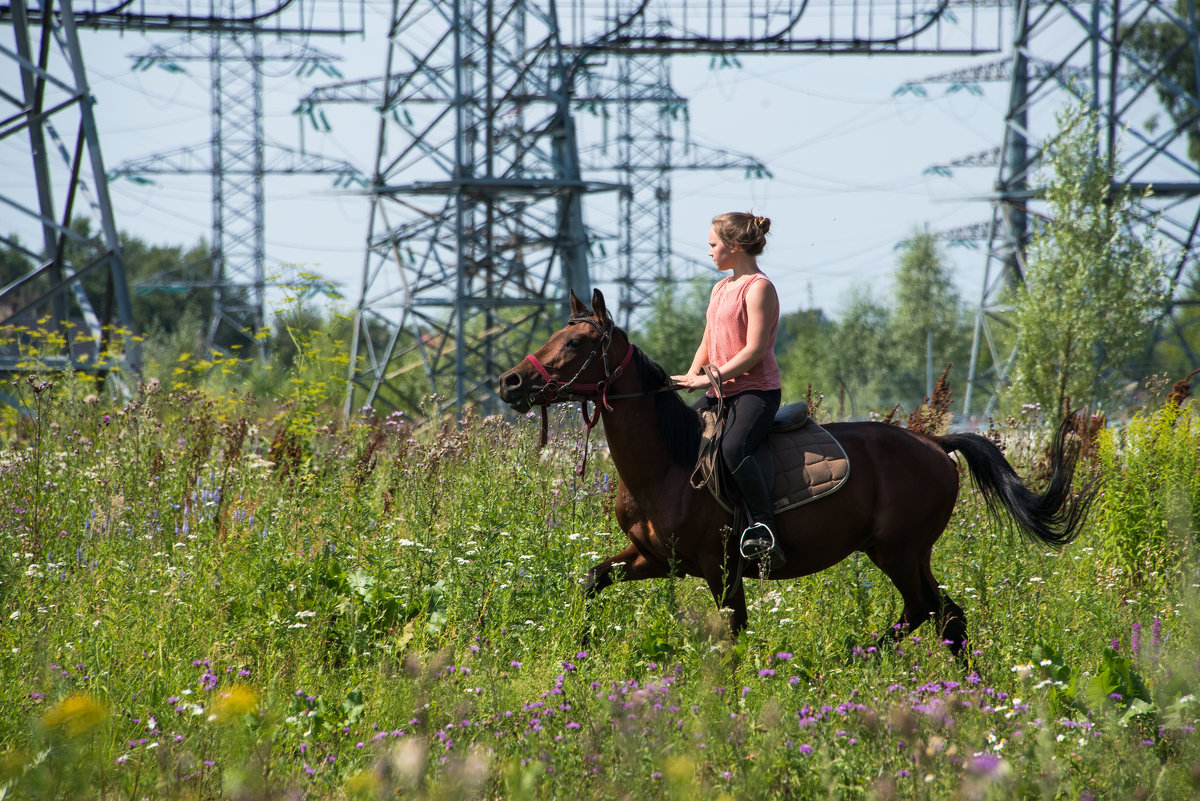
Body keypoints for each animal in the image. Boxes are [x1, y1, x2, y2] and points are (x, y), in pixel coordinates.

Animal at [492, 291, 1094, 652]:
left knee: (924, 609)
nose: (510, 383)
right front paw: (577, 647)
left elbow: (731, 635)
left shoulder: (721, 569)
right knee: (950, 616)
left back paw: (860, 656)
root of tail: (935, 443)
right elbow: (593, 580)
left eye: (575, 342)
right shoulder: (657, 559)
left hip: (897, 550)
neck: (666, 465)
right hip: (908, 552)